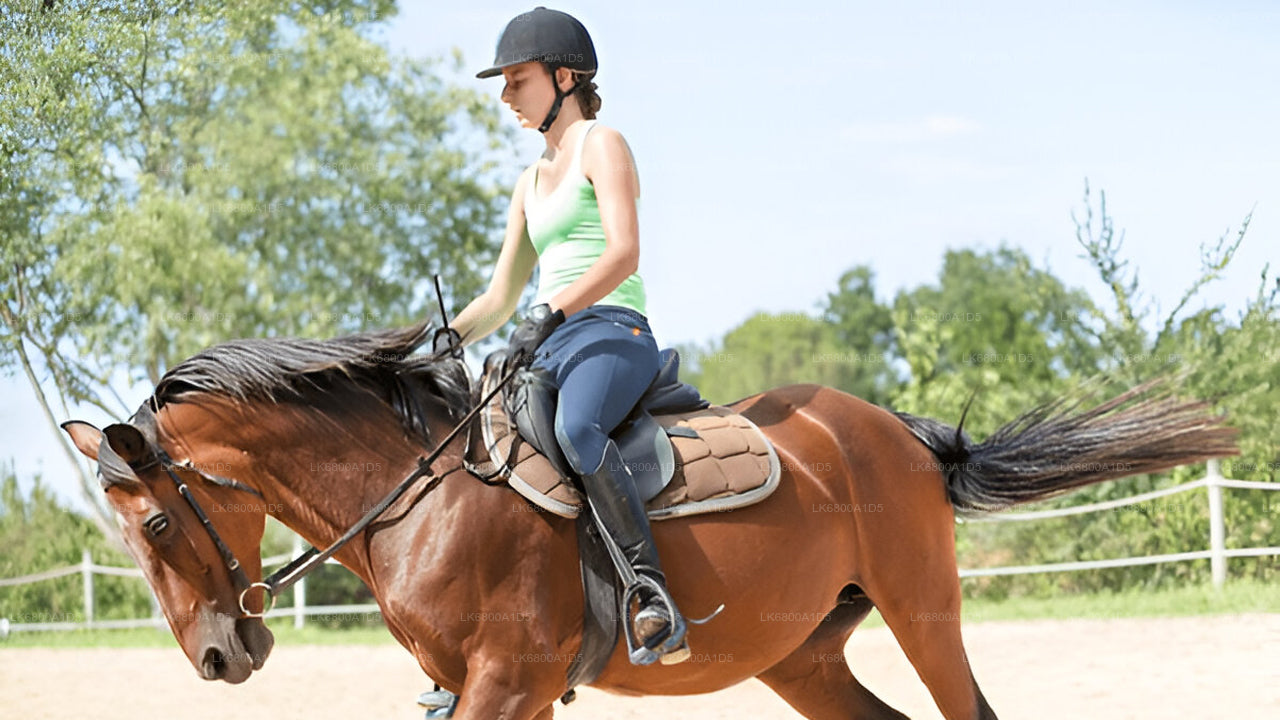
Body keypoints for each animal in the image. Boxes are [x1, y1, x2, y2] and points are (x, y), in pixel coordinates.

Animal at [62, 322, 1237, 719]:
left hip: (922, 611)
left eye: (155, 530)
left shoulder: (502, 682)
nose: (217, 657)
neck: (421, 492)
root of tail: (894, 430)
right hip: (802, 655)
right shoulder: (490, 690)